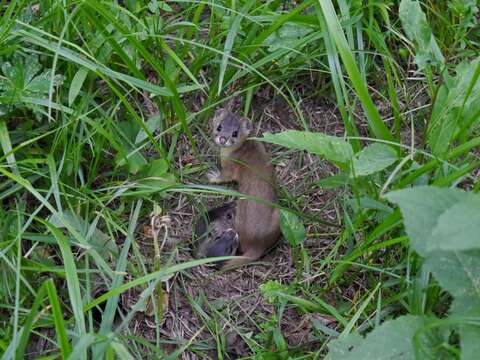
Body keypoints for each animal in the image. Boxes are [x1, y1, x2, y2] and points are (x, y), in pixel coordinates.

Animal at [207, 108, 282, 266]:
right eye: (219, 127)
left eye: (235, 133)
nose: (222, 139)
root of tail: (257, 244)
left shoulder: (230, 167)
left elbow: (224, 177)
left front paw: (213, 176)